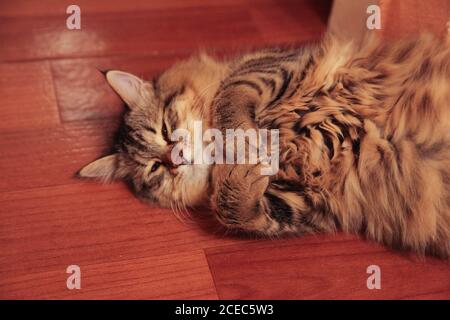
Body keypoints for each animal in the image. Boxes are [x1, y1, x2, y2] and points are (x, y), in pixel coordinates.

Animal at [80, 34, 450, 260]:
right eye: (155, 169)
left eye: (166, 128)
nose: (176, 159)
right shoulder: (309, 203)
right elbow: (235, 208)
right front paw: (247, 169)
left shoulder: (269, 65)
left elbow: (229, 97)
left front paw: (244, 142)